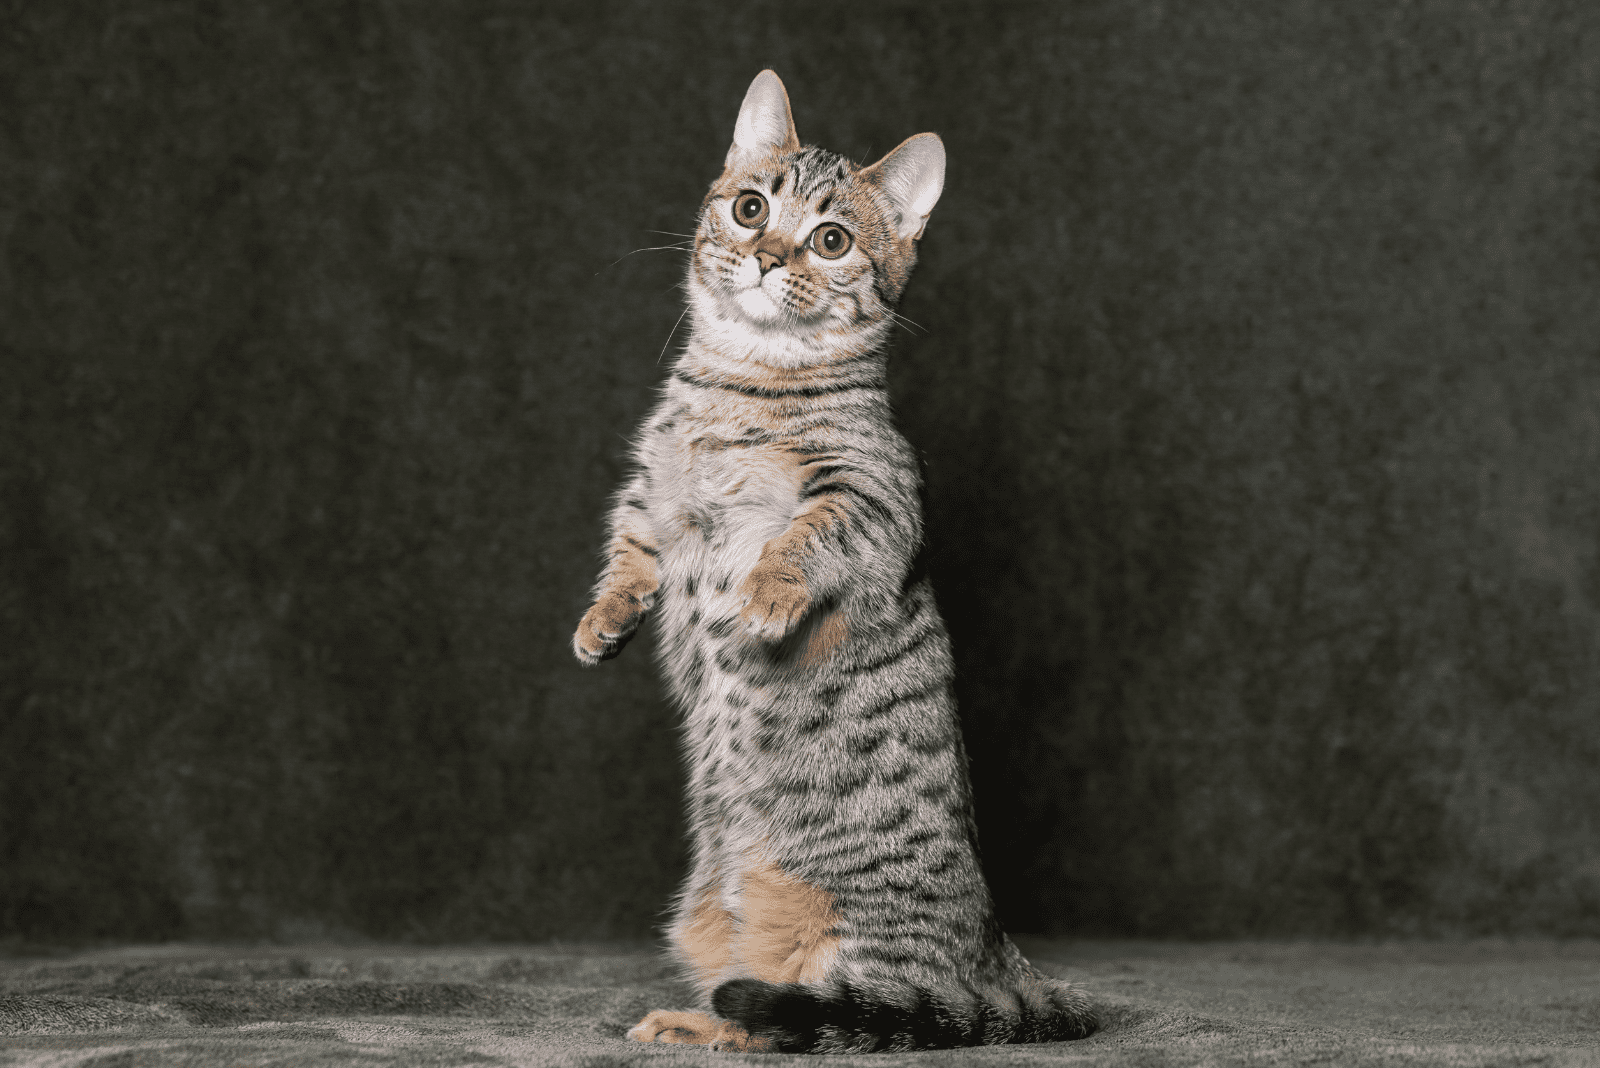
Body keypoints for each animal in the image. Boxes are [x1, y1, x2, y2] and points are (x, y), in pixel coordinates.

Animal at [576, 70, 1100, 1055]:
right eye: (750, 208)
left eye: (831, 239)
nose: (768, 255)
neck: (739, 386)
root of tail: (1000, 961)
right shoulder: (653, 495)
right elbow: (628, 552)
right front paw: (602, 622)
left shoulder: (873, 494)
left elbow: (805, 539)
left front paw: (767, 598)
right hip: (707, 915)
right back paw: (687, 1020)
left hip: (849, 944)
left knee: (817, 1016)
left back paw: (717, 1026)